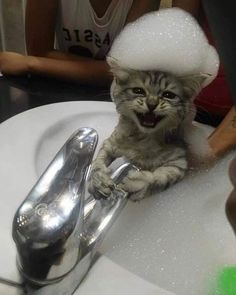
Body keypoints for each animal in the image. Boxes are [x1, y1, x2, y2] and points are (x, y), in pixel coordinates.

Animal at [88, 57, 206, 202]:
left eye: (168, 95)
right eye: (138, 91)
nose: (151, 104)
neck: (142, 138)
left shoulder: (179, 163)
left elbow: (160, 177)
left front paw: (139, 183)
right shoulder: (111, 143)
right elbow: (97, 163)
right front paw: (97, 181)